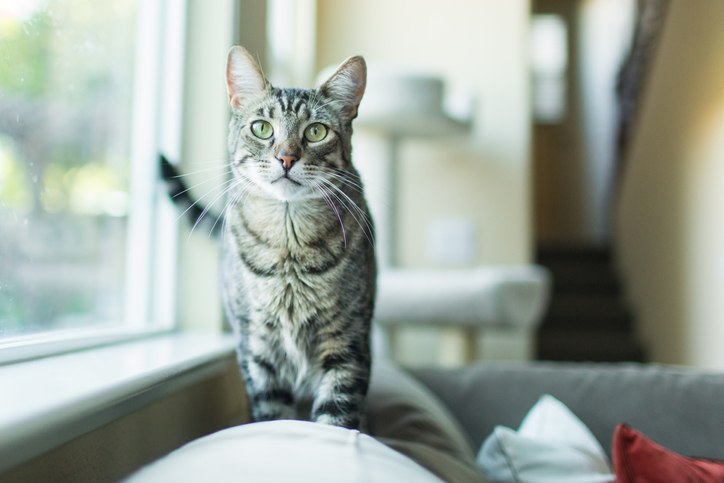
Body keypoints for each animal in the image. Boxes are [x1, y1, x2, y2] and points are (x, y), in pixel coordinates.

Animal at [218, 47, 376, 430]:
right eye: (262, 128)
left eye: (316, 131)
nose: (286, 158)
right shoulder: (257, 348)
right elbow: (272, 413)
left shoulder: (348, 343)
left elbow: (336, 417)